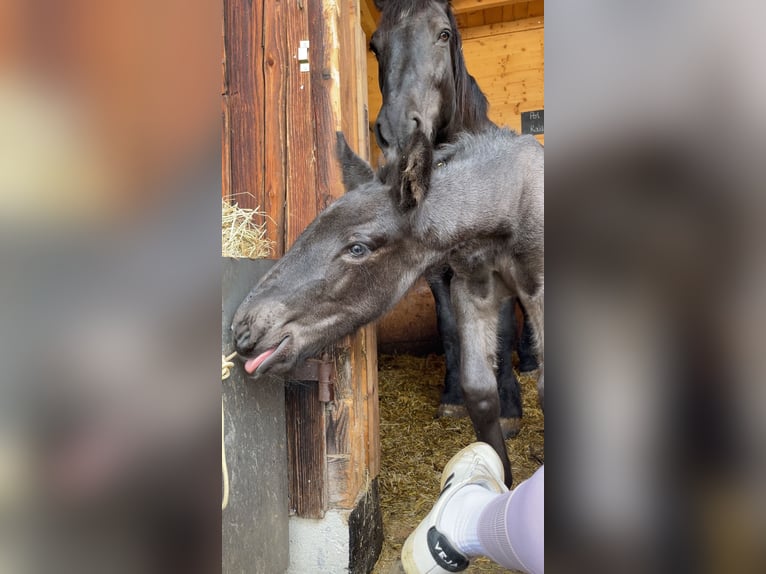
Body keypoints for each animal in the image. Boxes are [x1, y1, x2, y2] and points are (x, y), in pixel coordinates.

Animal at [370, 0, 540, 434]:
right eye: (375, 45)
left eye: (443, 34)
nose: (397, 130)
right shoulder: (436, 270)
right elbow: (449, 327)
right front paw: (452, 397)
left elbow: (501, 328)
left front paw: (509, 406)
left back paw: (531, 363)